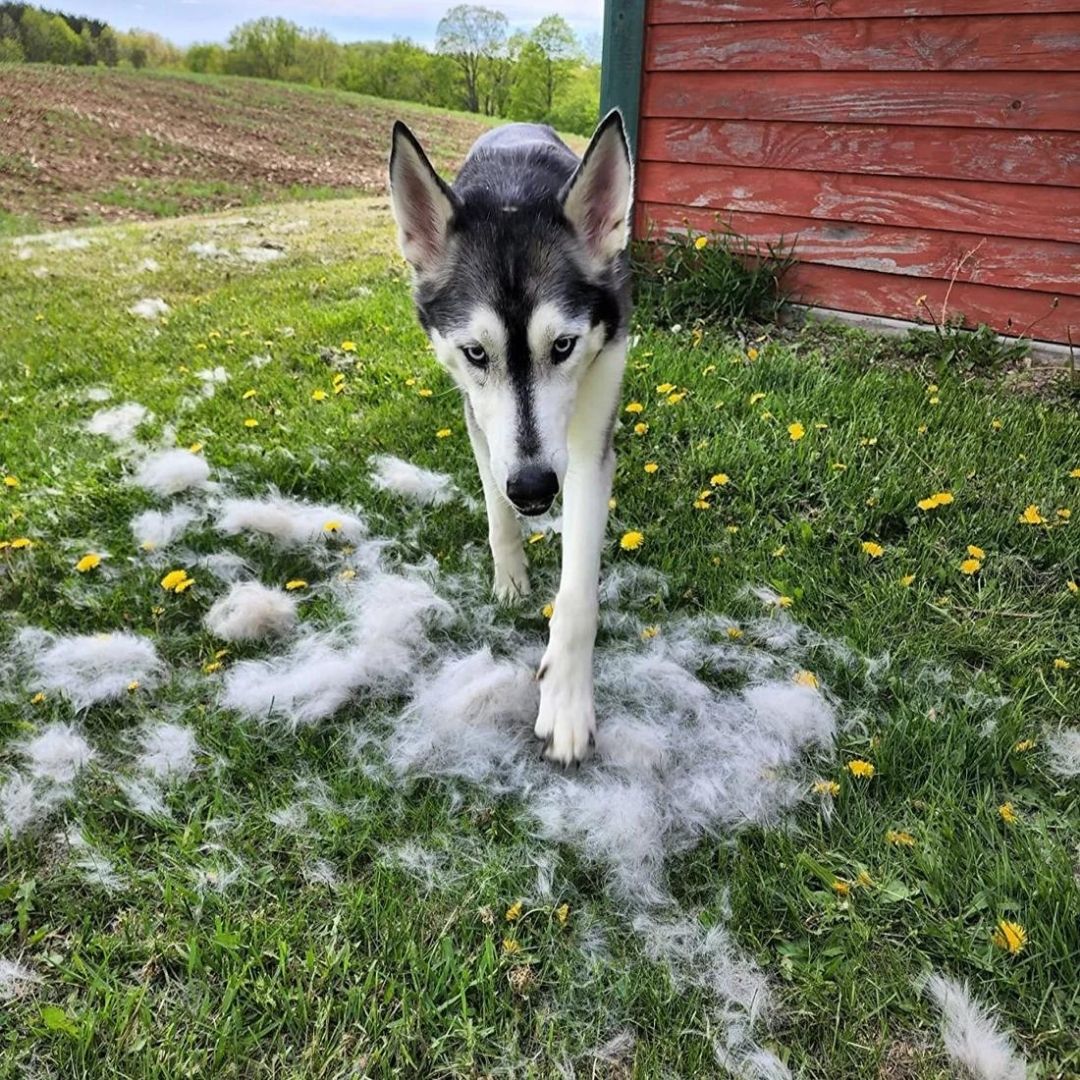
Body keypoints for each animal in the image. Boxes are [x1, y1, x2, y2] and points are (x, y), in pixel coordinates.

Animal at [390, 109, 630, 764]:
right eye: (478, 352)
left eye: (564, 346)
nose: (533, 489)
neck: (514, 195)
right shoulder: (482, 421)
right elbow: (497, 512)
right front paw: (511, 581)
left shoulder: (590, 441)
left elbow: (577, 595)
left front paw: (566, 700)